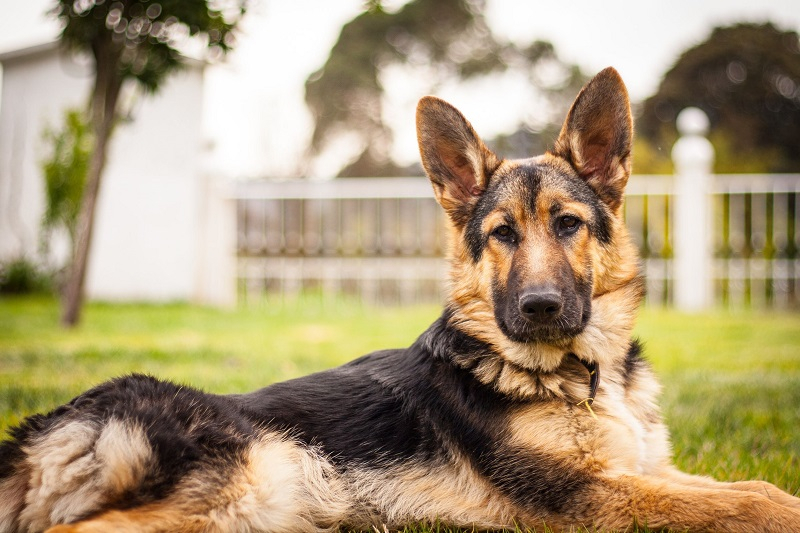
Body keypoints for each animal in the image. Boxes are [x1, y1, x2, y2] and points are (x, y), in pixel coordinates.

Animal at [1, 67, 800, 532]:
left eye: (569, 225)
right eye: (503, 235)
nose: (540, 307)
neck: (582, 375)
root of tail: (46, 426)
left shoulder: (646, 471)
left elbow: (750, 485)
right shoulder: (589, 497)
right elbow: (749, 501)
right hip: (243, 484)